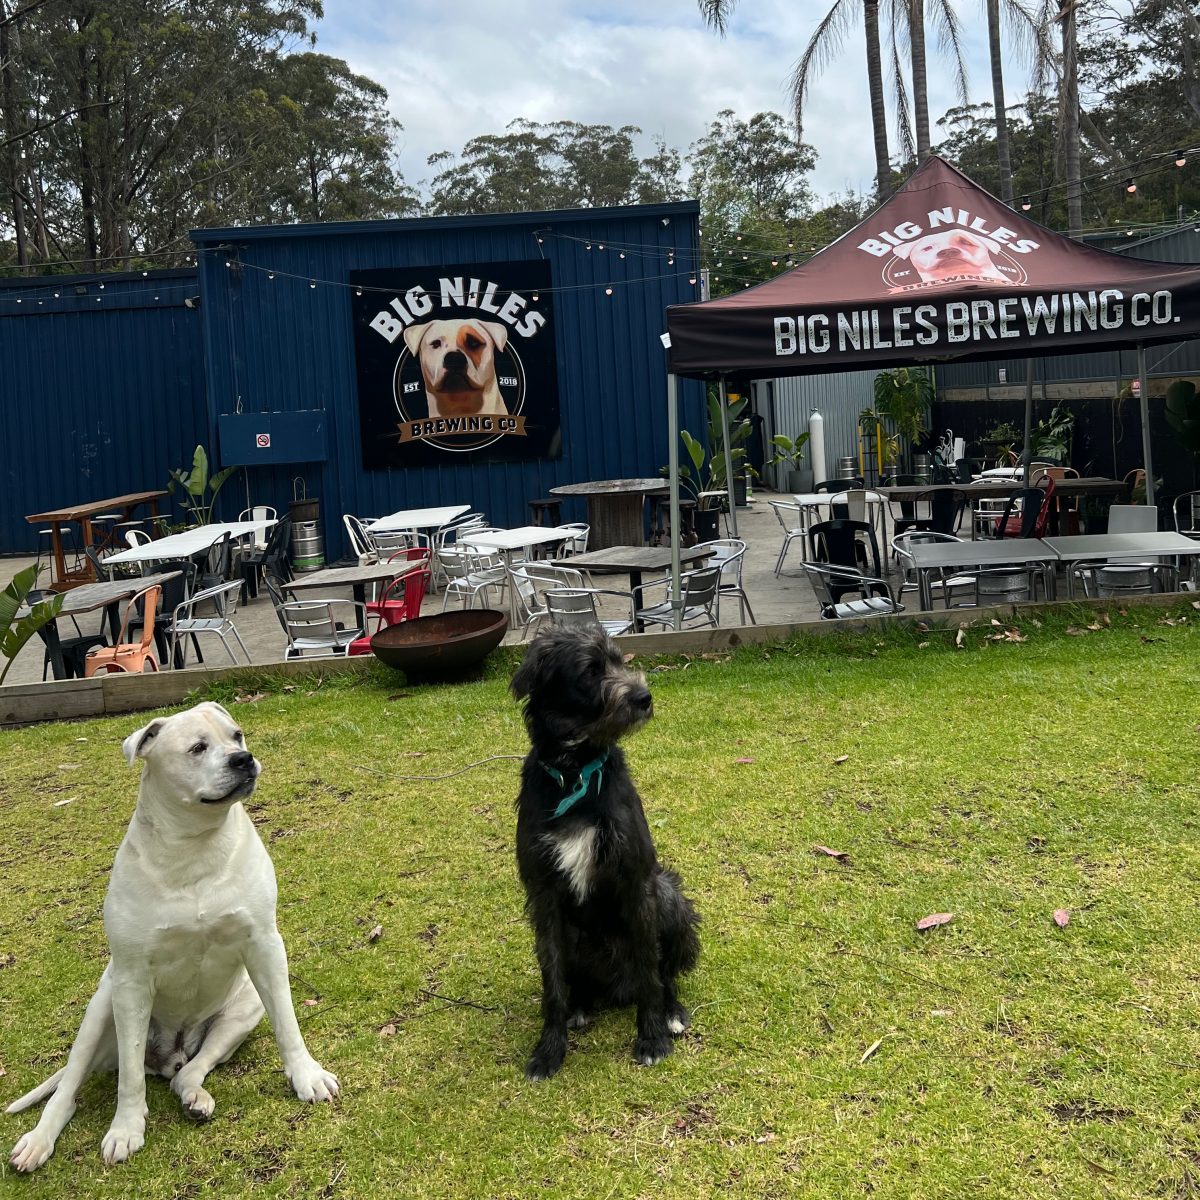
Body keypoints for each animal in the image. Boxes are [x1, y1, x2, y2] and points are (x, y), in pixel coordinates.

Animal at [8, 700, 338, 1171]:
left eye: (237, 735)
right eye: (197, 748)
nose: (243, 759)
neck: (194, 844)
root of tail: (169, 1056)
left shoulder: (265, 946)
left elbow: (288, 1023)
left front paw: (306, 1075)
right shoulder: (130, 979)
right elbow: (129, 1077)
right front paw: (125, 1128)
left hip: (242, 1009)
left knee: (188, 1072)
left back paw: (194, 1096)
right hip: (101, 1007)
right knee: (70, 1090)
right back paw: (38, 1140)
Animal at [508, 624, 700, 1084]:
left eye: (619, 660)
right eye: (590, 671)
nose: (644, 697)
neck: (575, 771)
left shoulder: (636, 880)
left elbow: (651, 967)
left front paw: (651, 1038)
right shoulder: (543, 896)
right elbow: (552, 982)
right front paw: (549, 1049)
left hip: (668, 894)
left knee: (662, 974)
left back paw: (671, 1011)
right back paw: (580, 1005)